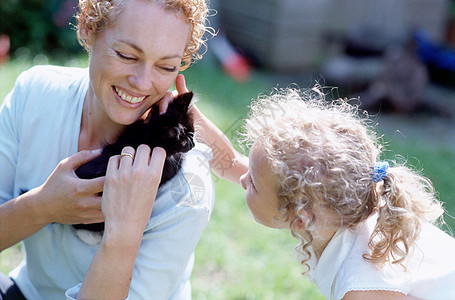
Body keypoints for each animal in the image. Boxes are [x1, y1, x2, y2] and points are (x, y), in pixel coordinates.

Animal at [72, 92, 194, 244]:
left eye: (193, 133)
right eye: (185, 141)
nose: (193, 144)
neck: (149, 135)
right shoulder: (165, 166)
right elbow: (177, 162)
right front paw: (182, 157)